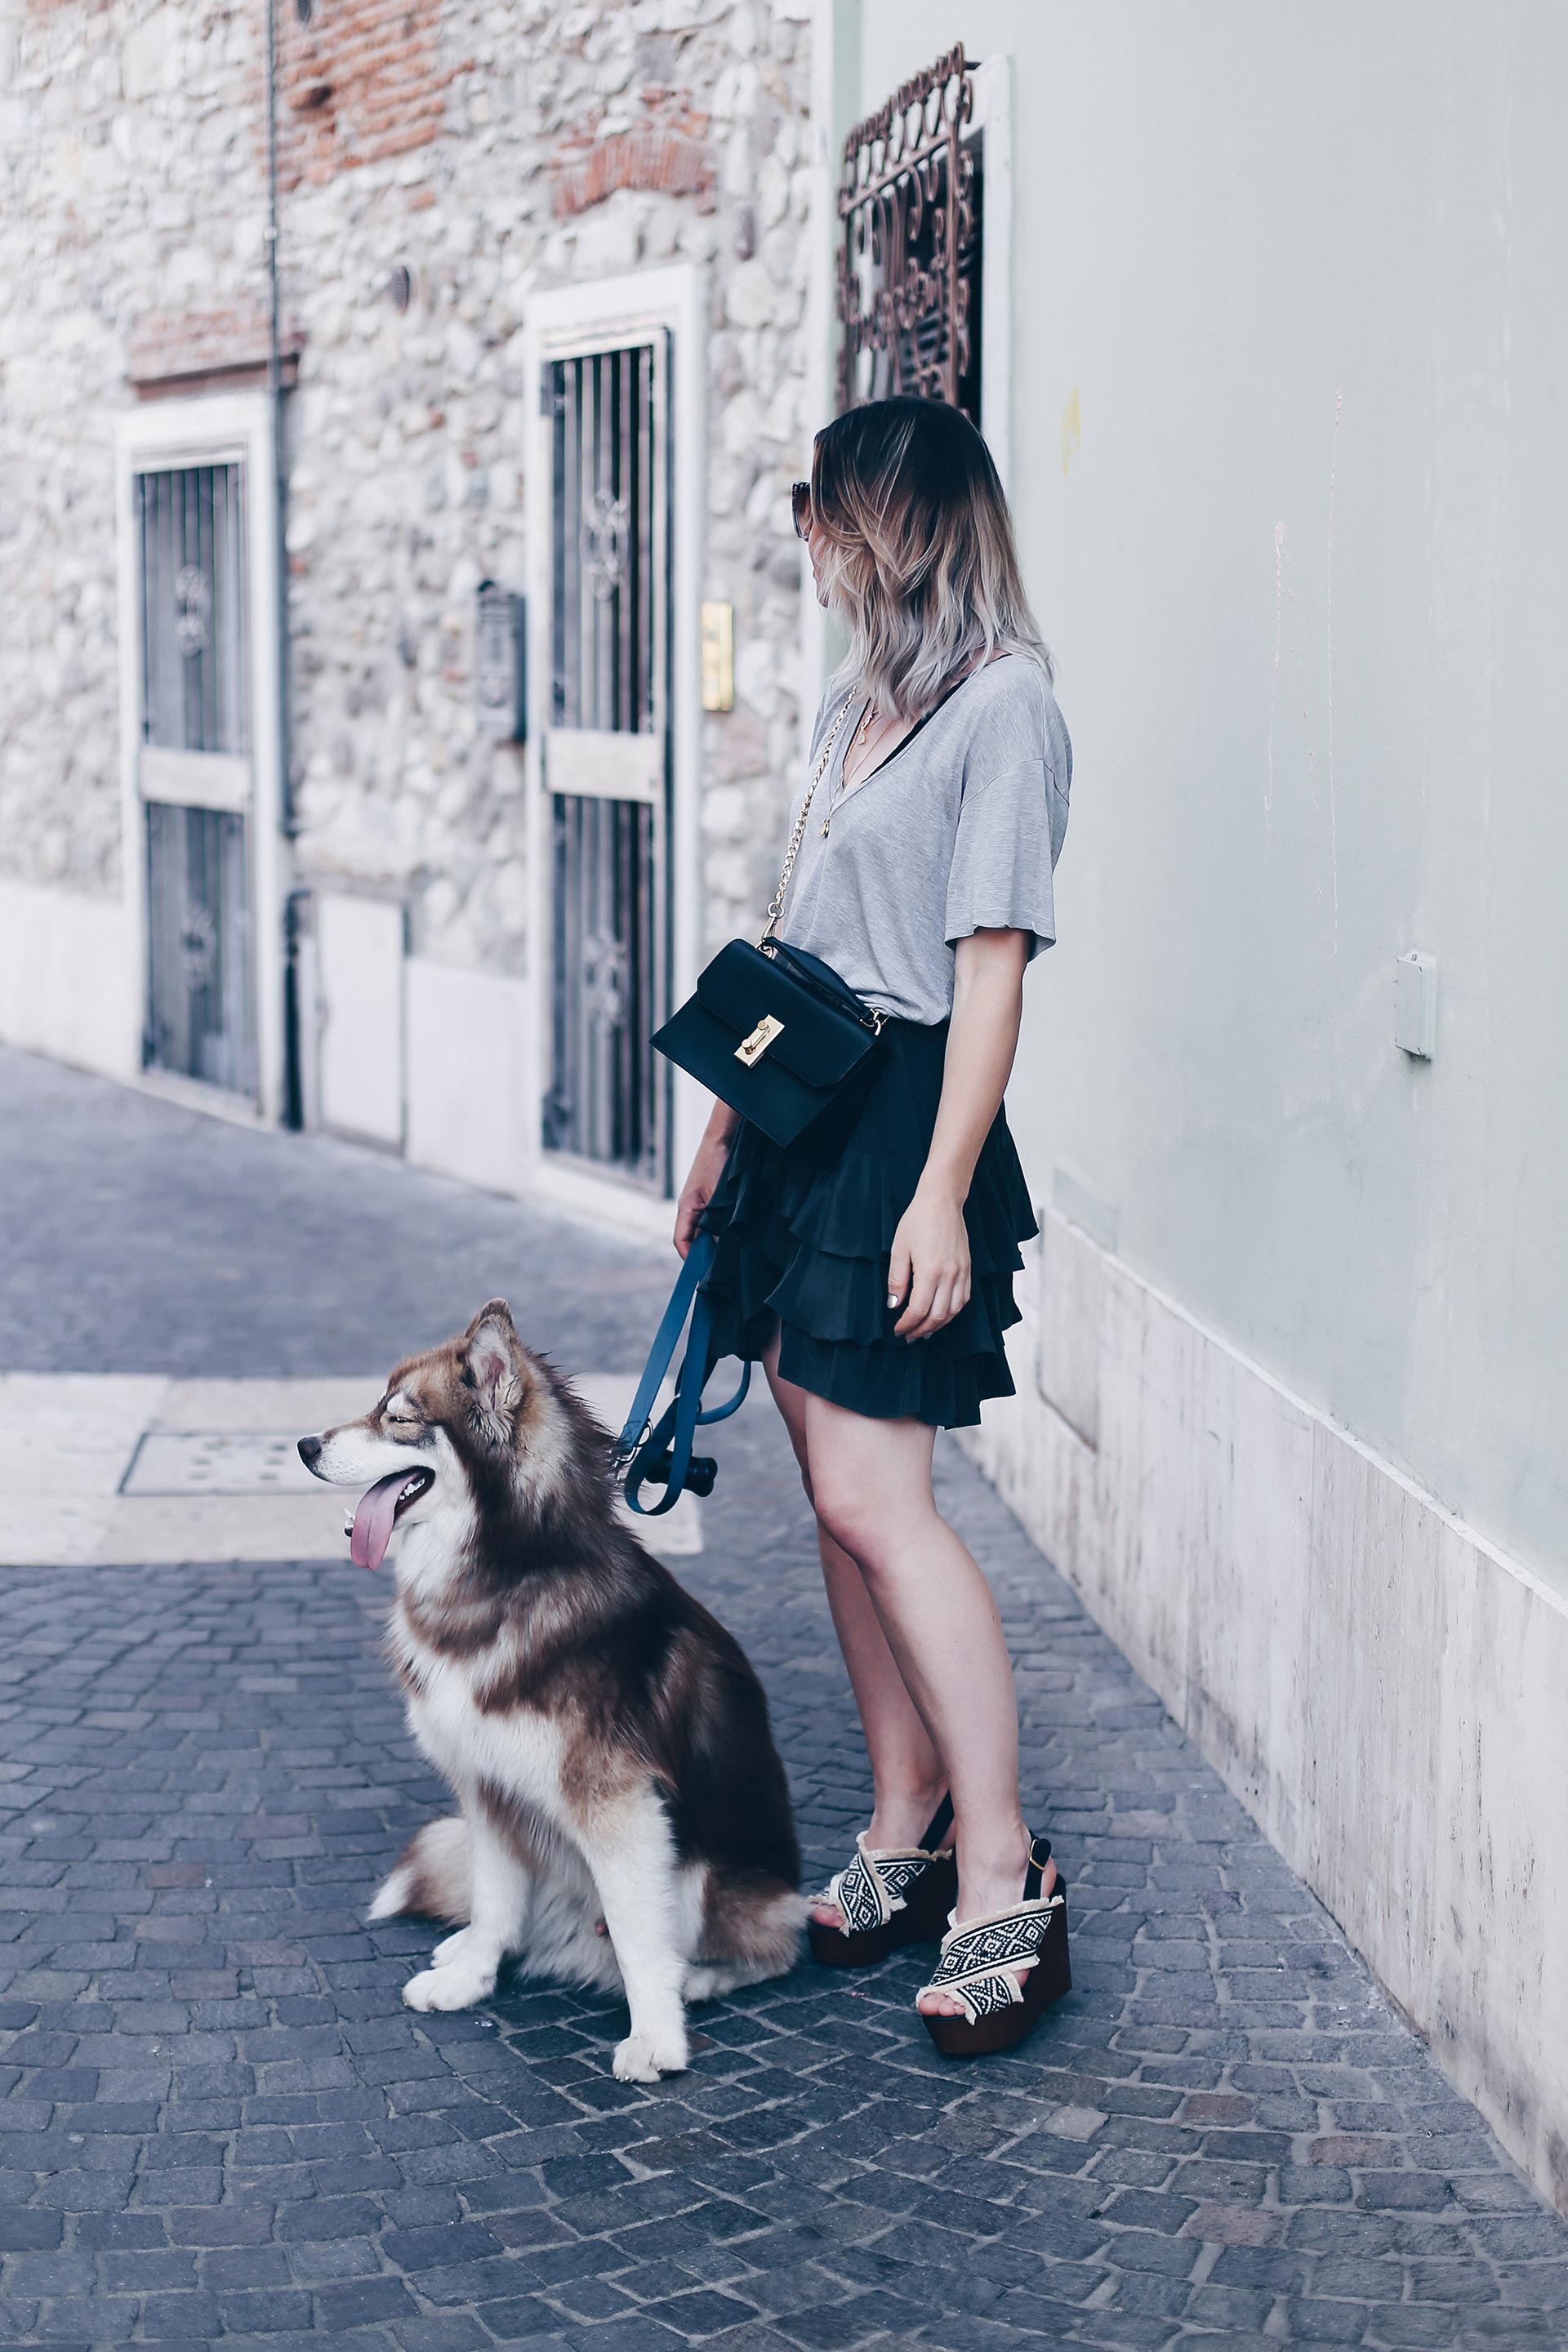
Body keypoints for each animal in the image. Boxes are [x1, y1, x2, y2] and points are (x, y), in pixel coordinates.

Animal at [298, 1298, 804, 2088]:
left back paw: (700, 1977)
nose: (303, 1446)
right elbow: (496, 1897)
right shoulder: (487, 1784)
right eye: (379, 1406)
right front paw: (471, 1975)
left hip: (713, 1880)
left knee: (774, 1941)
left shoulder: (619, 1807)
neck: (502, 1582)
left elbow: (639, 1936)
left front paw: (656, 2038)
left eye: (400, 1418)